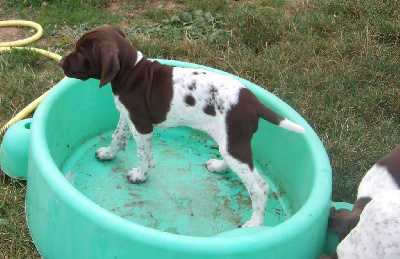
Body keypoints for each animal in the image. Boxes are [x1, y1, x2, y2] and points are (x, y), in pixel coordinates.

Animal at [57, 23, 304, 228]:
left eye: (81, 52)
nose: (60, 62)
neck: (130, 71)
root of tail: (252, 101)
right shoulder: (127, 116)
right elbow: (117, 136)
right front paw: (108, 154)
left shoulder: (142, 125)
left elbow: (143, 154)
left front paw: (140, 176)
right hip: (231, 141)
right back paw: (219, 167)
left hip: (234, 142)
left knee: (259, 187)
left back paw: (255, 224)